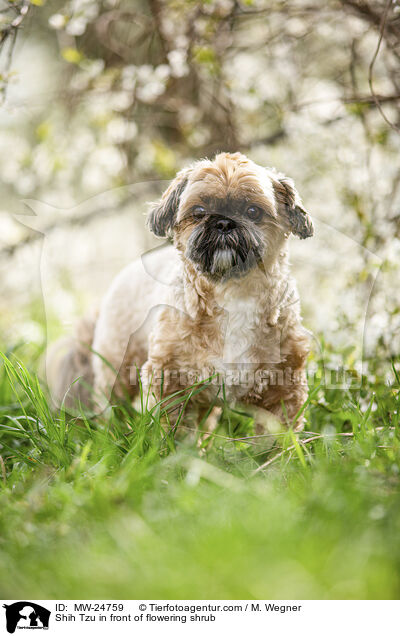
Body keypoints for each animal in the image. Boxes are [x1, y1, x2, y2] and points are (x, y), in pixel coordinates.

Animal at [49, 152, 312, 434]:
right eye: (199, 212)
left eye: (253, 211)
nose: (223, 223)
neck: (233, 295)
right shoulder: (170, 379)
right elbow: (173, 428)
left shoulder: (283, 387)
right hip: (117, 366)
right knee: (111, 403)